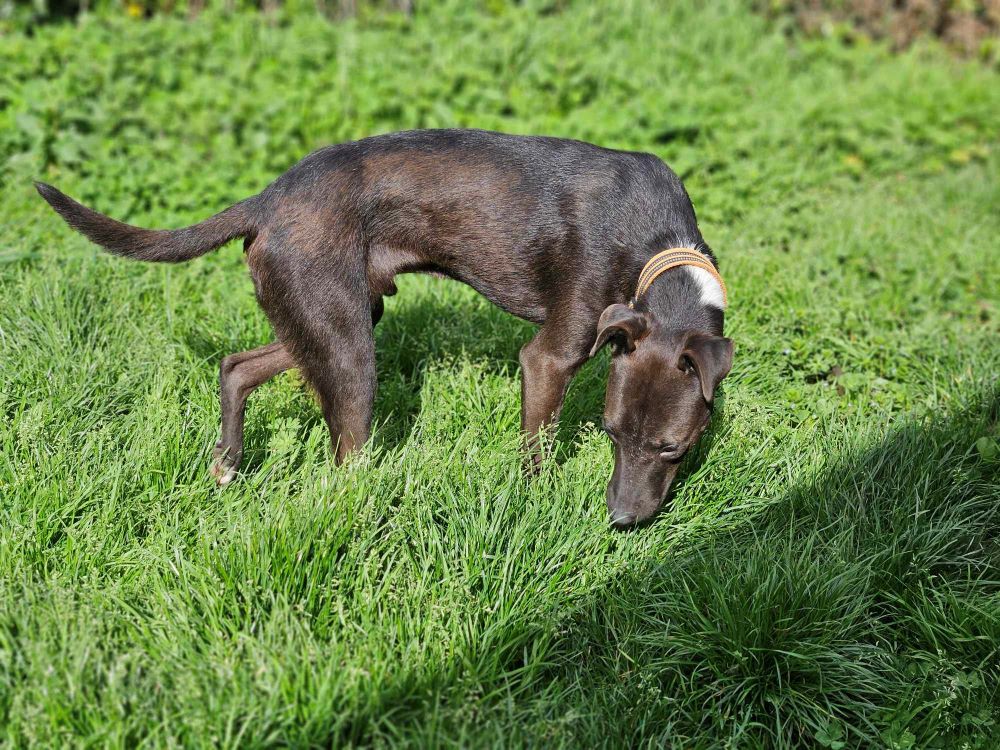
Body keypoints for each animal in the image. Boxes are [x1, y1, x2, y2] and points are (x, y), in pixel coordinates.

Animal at [37, 128, 736, 528]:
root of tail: (267, 199)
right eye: (611, 432)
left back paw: (227, 465)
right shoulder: (549, 358)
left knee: (235, 366)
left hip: (328, 320)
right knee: (344, 464)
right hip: (349, 351)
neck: (657, 246)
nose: (621, 520)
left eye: (674, 449)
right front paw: (536, 505)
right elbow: (536, 451)